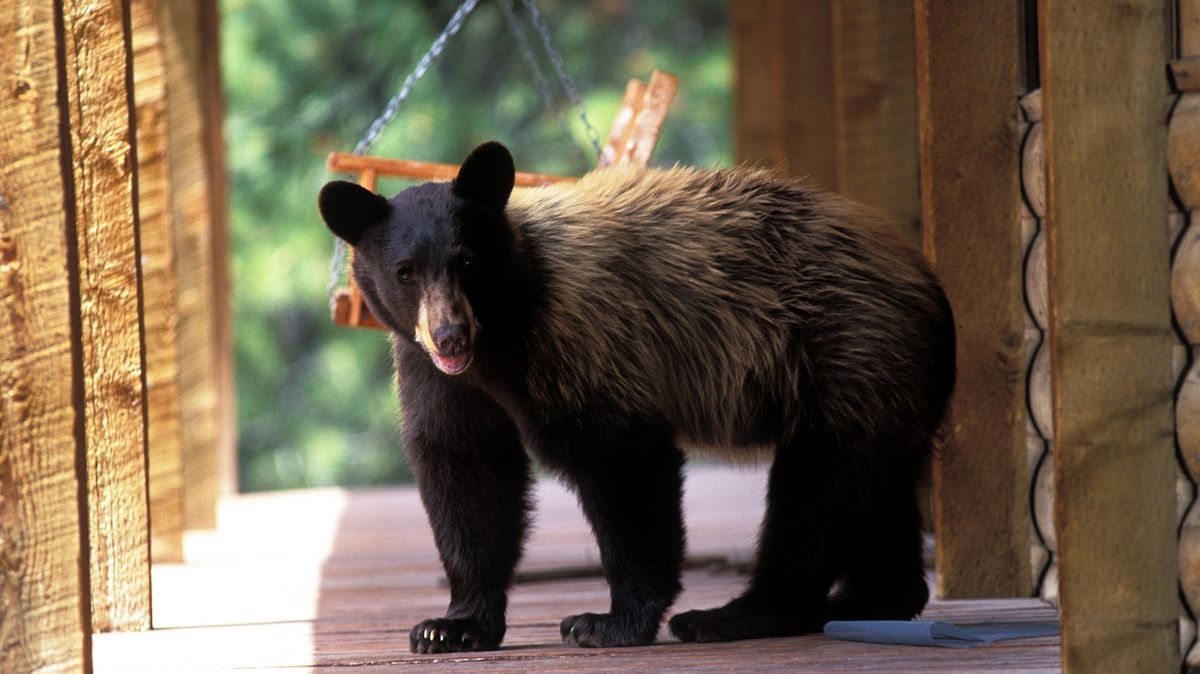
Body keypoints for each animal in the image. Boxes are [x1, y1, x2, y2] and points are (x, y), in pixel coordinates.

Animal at [319, 140, 955, 652]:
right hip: (880, 384)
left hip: (847, 351)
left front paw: (608, 622)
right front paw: (452, 625)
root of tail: (927, 280)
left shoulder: (582, 334)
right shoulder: (435, 375)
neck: (501, 335)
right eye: (405, 271)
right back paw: (870, 599)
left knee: (818, 493)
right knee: (873, 489)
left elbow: (621, 460)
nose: (451, 335)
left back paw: (737, 613)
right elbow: (466, 469)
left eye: (468, 262)